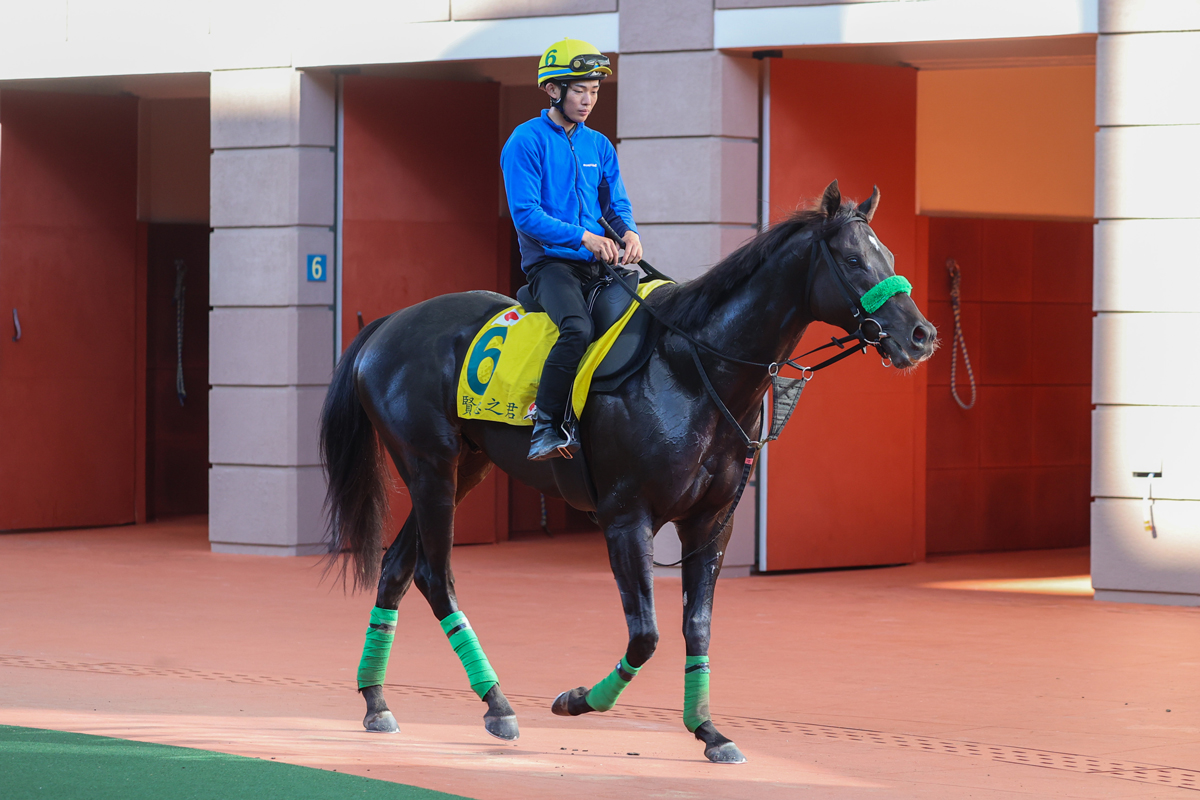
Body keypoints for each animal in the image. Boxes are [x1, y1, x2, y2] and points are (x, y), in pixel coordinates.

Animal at [319, 181, 936, 762]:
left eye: (889, 256)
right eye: (852, 259)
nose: (922, 335)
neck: (691, 367)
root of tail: (389, 324)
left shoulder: (711, 524)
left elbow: (696, 627)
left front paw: (708, 731)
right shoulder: (625, 518)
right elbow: (646, 635)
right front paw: (577, 700)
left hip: (465, 467)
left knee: (398, 568)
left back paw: (376, 699)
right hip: (430, 467)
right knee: (433, 576)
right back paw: (496, 704)